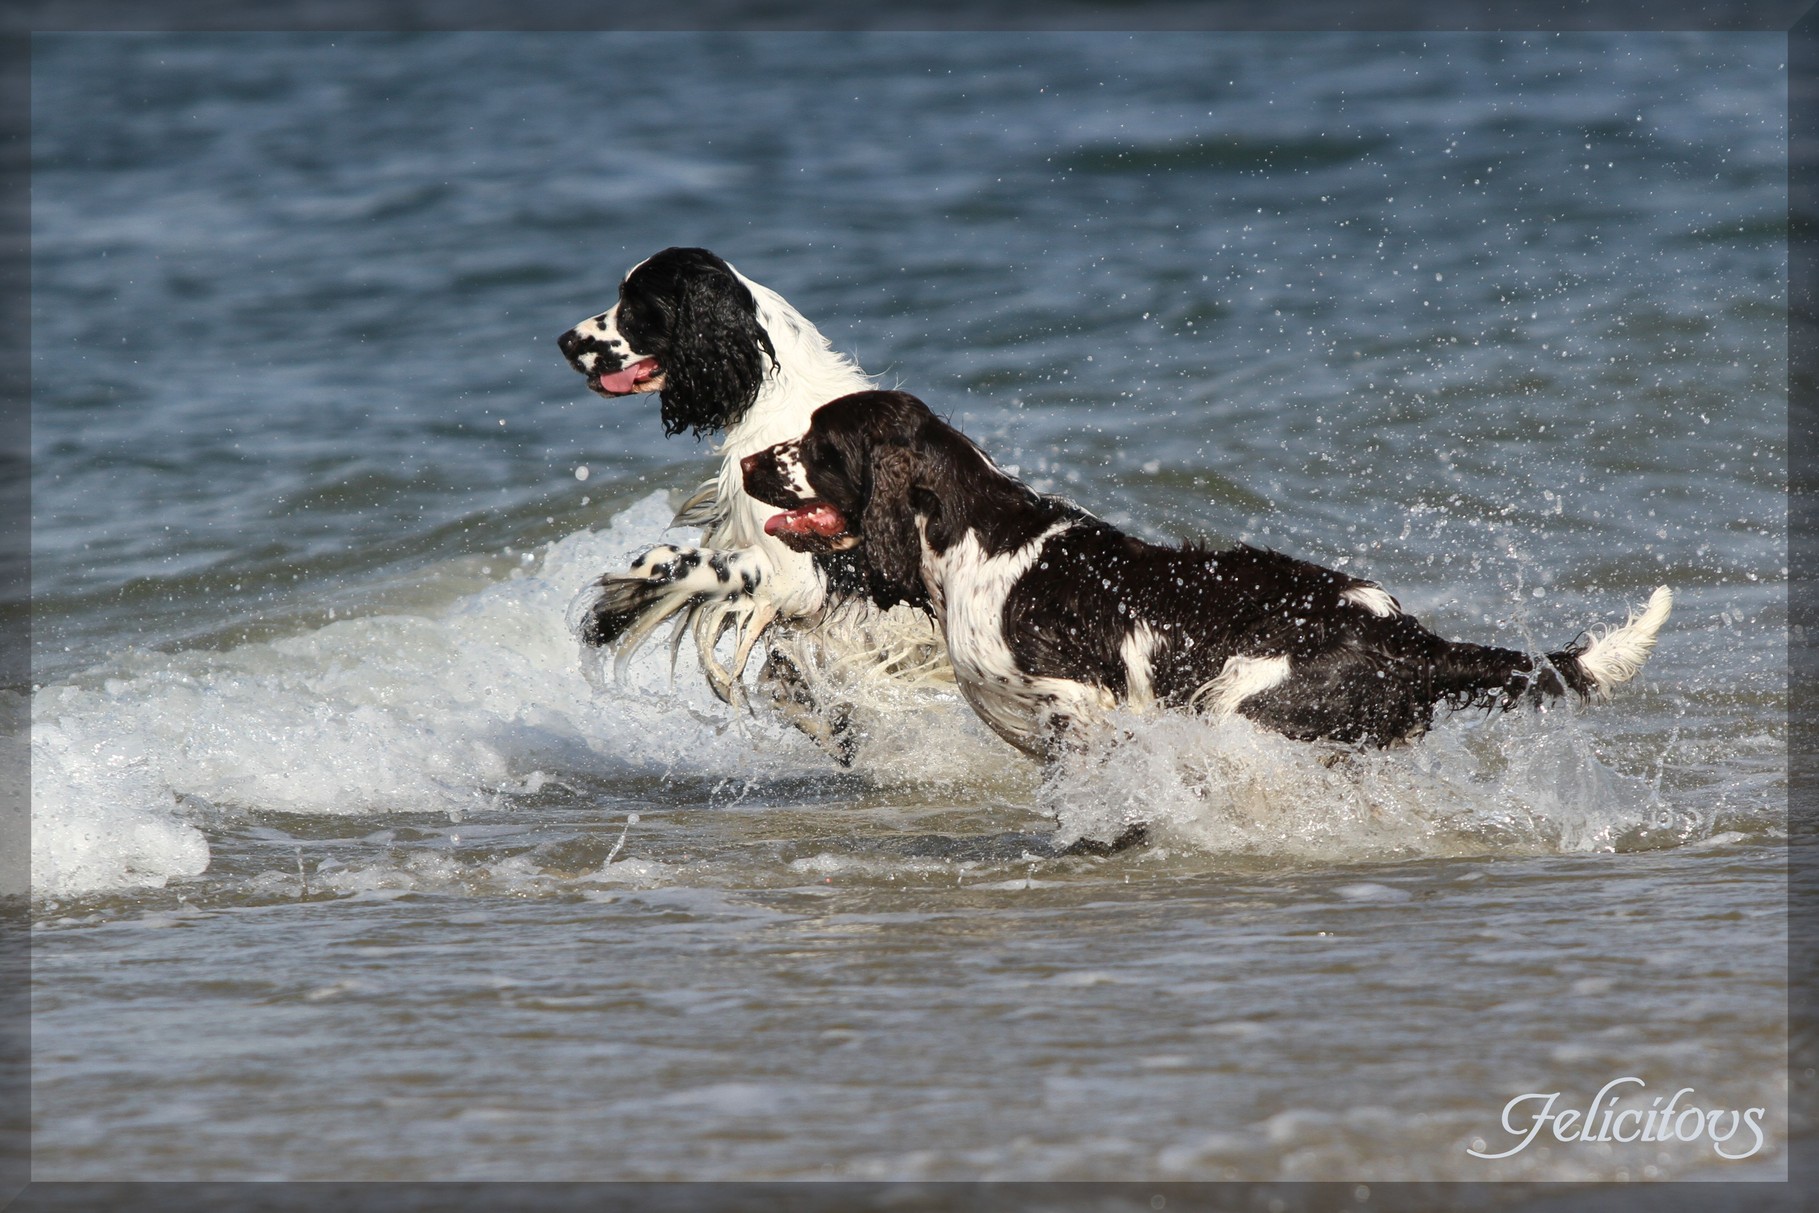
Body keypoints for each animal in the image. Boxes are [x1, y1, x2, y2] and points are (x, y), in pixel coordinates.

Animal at [738, 394, 1666, 763]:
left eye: (819, 447)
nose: (747, 462)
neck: (971, 539)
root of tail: (1408, 634)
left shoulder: (1081, 703)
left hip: (1240, 709)